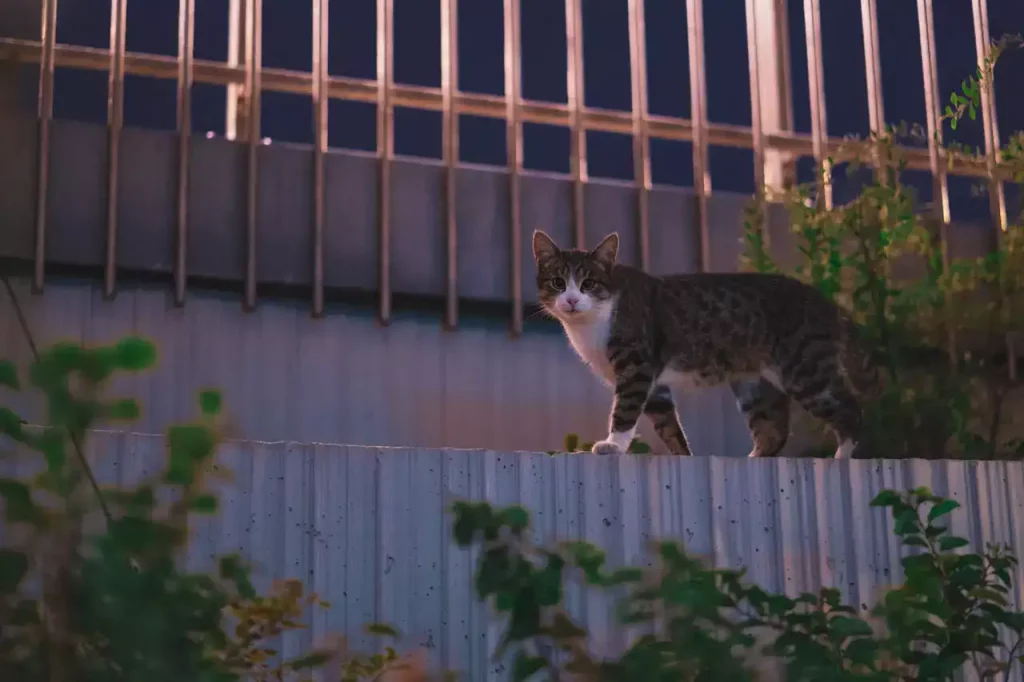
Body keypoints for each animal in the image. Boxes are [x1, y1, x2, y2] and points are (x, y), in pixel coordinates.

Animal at [532, 228, 876, 456]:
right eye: (558, 282)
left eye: (589, 284)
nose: (572, 300)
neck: (592, 322)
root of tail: (830, 304)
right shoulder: (655, 384)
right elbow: (668, 426)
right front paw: (682, 456)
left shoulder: (637, 364)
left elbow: (625, 409)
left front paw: (613, 445)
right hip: (753, 381)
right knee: (773, 427)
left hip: (805, 369)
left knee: (852, 408)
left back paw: (842, 456)